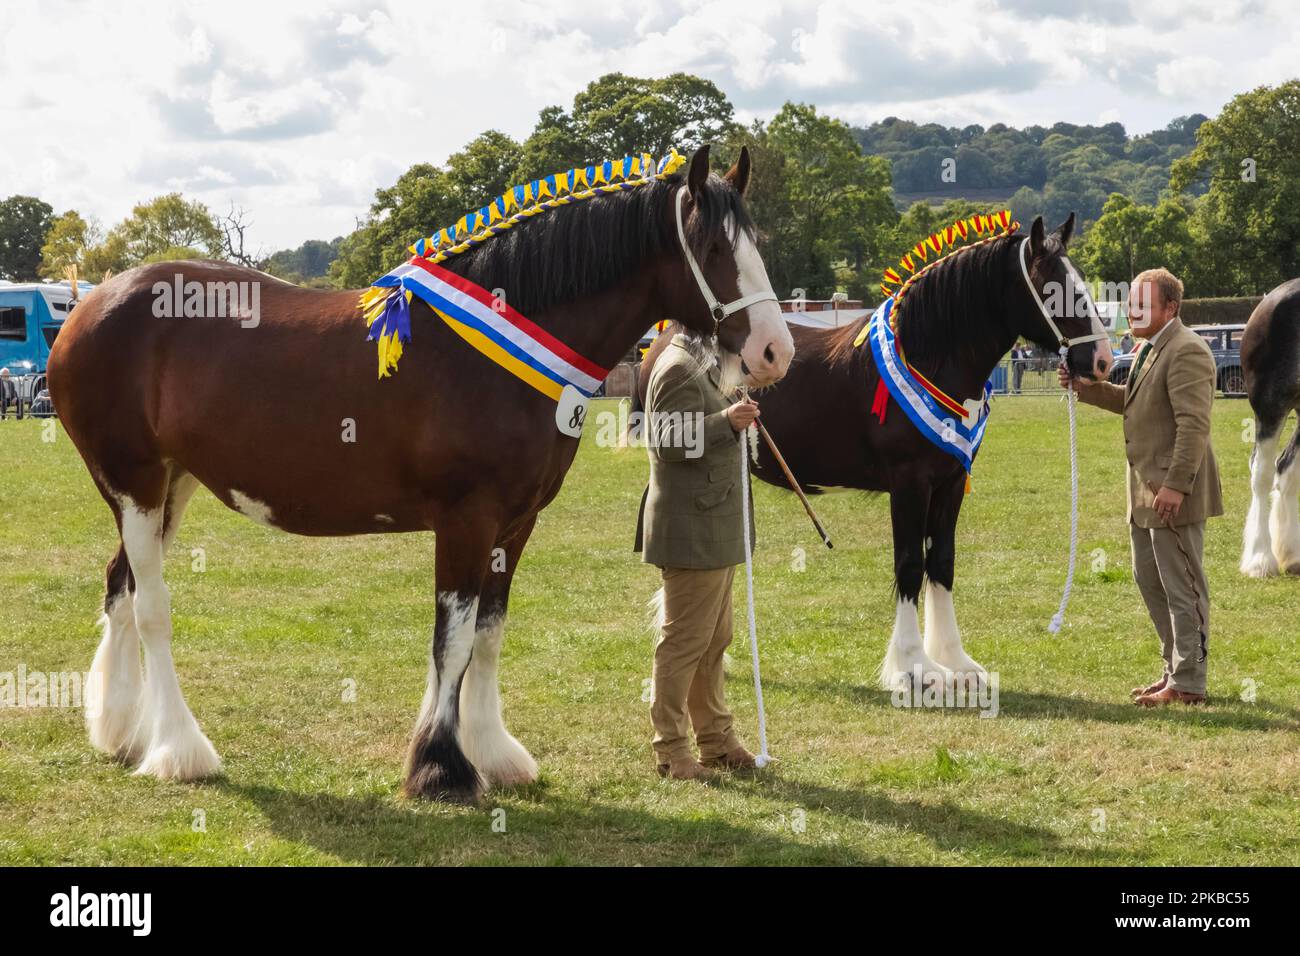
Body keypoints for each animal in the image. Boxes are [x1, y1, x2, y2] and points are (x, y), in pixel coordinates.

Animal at [48, 145, 790, 806]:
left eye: (756, 243)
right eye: (714, 249)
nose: (774, 351)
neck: (496, 354)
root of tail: (90, 304)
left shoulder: (515, 524)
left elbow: (488, 635)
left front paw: (493, 753)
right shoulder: (466, 518)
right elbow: (452, 642)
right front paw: (441, 768)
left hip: (171, 486)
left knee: (120, 589)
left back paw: (120, 733)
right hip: (134, 484)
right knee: (151, 607)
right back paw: (179, 750)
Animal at [634, 215, 1112, 691]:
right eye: (1053, 290)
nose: (1103, 361)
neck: (927, 354)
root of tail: (664, 339)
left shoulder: (950, 482)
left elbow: (942, 562)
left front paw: (955, 662)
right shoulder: (909, 485)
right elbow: (909, 565)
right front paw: (914, 668)